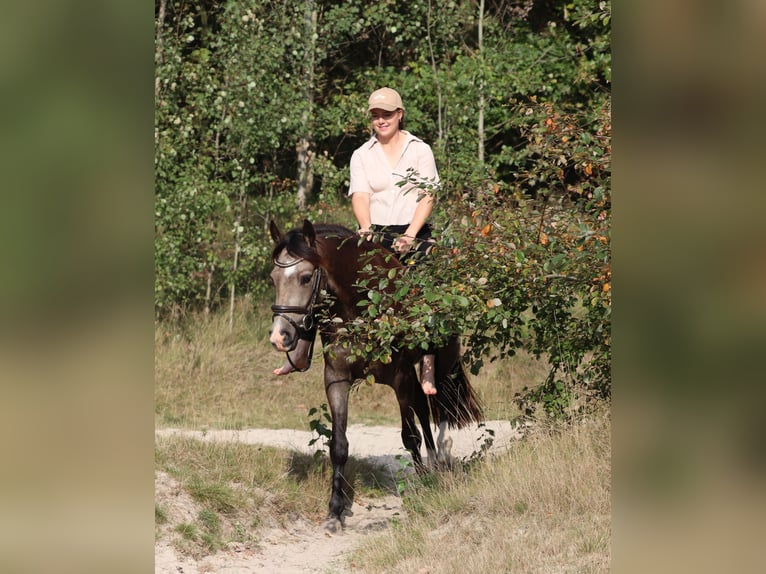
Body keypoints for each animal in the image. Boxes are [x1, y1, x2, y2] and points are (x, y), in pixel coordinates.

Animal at [268, 219, 483, 530]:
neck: (364, 307)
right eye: (273, 278)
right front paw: (335, 511)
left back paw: (440, 460)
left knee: (440, 406)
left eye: (306, 278)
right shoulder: (336, 380)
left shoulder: (400, 379)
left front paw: (421, 488)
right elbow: (339, 445)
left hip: (443, 366)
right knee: (423, 406)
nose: (279, 337)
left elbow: (410, 436)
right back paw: (432, 464)